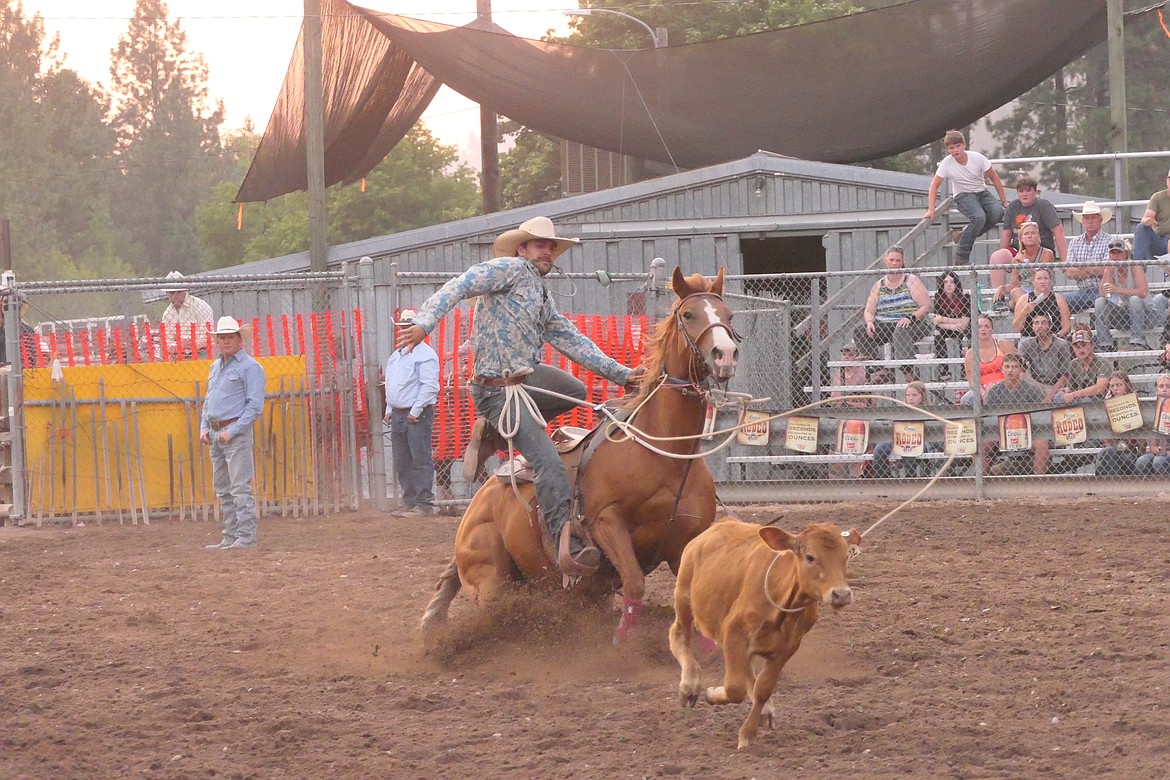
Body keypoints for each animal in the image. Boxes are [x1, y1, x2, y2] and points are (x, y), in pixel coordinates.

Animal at [421, 265, 739, 645]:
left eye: (728, 315)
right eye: (689, 314)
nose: (725, 354)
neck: (666, 454)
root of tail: (475, 506)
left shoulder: (686, 542)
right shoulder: (606, 522)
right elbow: (634, 582)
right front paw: (622, 641)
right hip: (491, 578)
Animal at [669, 519, 861, 748]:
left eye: (845, 556)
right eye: (810, 557)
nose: (841, 594)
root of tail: (720, 523)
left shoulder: (787, 648)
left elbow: (763, 688)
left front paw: (749, 732)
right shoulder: (733, 635)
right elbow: (734, 688)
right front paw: (714, 694)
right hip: (684, 597)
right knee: (678, 634)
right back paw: (689, 685)